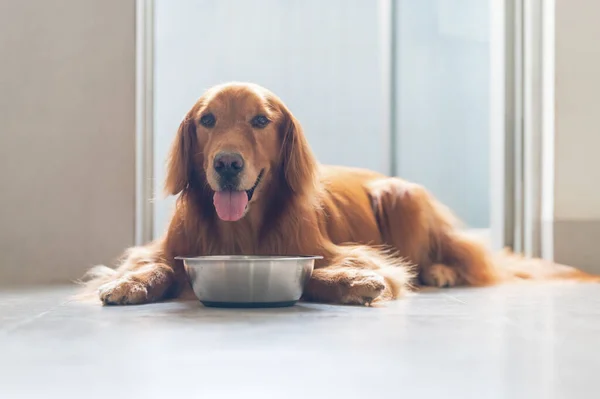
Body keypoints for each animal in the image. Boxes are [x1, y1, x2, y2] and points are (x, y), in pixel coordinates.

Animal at [82, 81, 596, 306]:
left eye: (260, 120)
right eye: (207, 120)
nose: (226, 164)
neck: (242, 230)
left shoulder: (337, 251)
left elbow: (320, 272)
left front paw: (351, 283)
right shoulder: (165, 249)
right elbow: (152, 266)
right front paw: (129, 284)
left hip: (401, 195)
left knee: (460, 260)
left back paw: (441, 272)